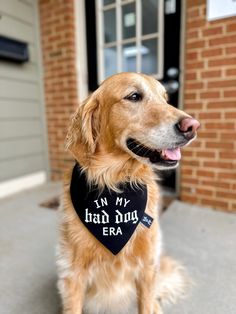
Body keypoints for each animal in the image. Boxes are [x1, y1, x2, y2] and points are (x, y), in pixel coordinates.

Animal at [56, 72, 199, 312]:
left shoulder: (147, 269)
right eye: (133, 96)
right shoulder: (73, 275)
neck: (115, 184)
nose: (193, 126)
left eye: (165, 99)